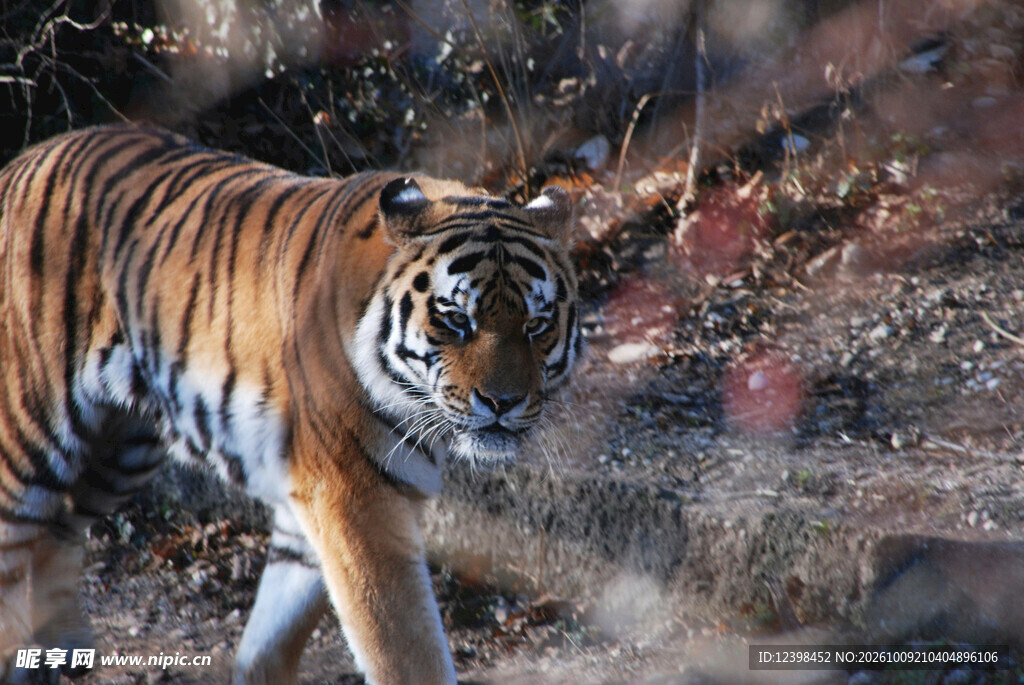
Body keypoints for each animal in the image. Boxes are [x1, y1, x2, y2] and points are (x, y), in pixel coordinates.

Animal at [0, 124, 581, 685]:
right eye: (458, 320)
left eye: (536, 325)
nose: (503, 401)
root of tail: (22, 161)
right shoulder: (356, 500)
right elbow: (405, 653)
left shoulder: (313, 507)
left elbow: (273, 637)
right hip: (30, 438)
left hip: (125, 449)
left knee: (59, 531)